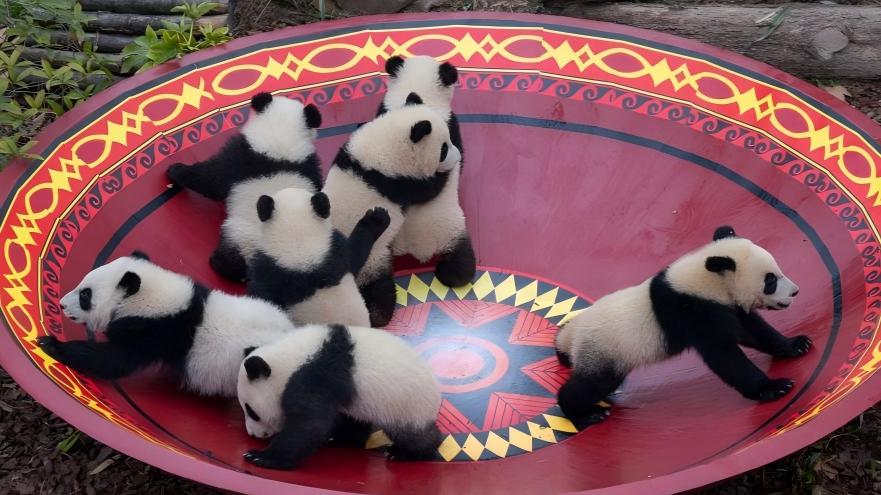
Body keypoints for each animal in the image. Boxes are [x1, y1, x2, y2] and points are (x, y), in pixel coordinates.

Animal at [166, 92, 323, 283]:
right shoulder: (310, 168)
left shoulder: (238, 158)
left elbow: (210, 178)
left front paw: (174, 171)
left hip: (242, 235)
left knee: (232, 259)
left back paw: (219, 263)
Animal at [236, 323, 442, 470]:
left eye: (252, 412)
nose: (253, 434)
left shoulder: (317, 376)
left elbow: (309, 425)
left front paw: (260, 456)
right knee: (356, 420)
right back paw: (340, 438)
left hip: (406, 404)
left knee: (411, 435)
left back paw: (407, 452)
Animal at [323, 105, 461, 327]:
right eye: (443, 150)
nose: (456, 156)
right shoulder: (394, 183)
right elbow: (428, 190)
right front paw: (443, 174)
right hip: (373, 260)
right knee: (381, 288)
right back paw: (379, 315)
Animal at [555, 226, 812, 423]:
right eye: (770, 280)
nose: (796, 291)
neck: (706, 280)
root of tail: (573, 334)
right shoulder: (692, 311)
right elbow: (725, 356)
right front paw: (774, 387)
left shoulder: (724, 305)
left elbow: (753, 330)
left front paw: (796, 344)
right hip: (606, 348)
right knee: (592, 384)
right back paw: (584, 414)